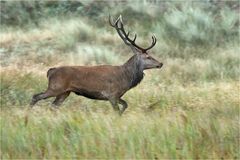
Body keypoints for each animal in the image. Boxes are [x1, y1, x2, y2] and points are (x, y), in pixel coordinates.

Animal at [29, 15, 162, 115]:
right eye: (148, 57)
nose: (160, 63)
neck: (126, 78)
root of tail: (50, 71)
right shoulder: (112, 94)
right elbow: (118, 110)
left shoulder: (117, 96)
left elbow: (125, 105)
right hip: (55, 87)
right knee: (36, 96)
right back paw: (28, 113)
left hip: (64, 92)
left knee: (53, 106)